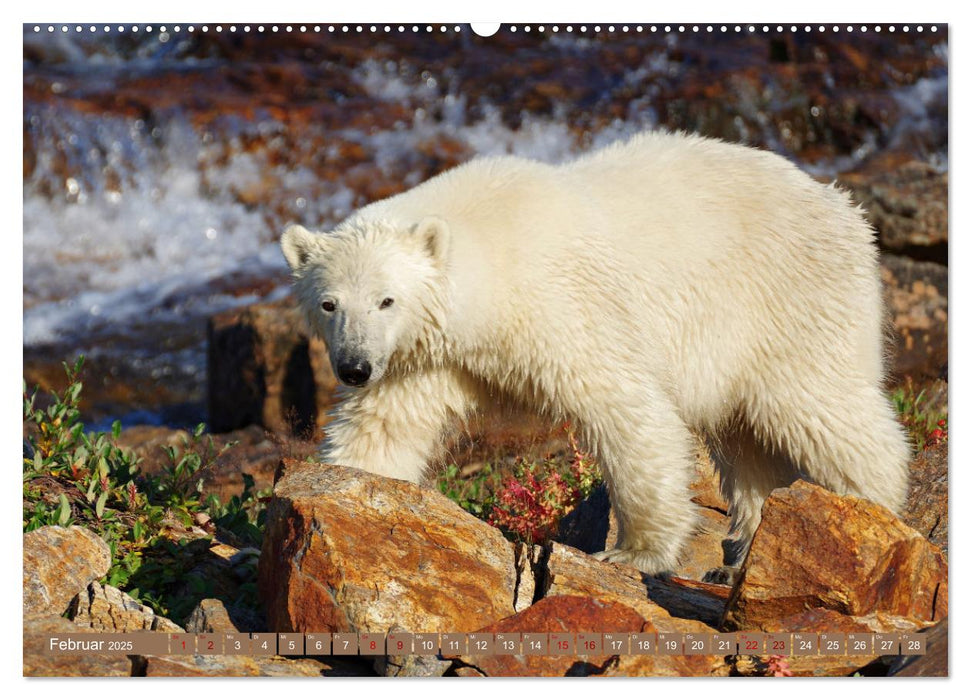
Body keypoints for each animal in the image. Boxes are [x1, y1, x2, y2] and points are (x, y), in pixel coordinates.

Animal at [280, 131, 912, 576]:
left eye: (387, 299)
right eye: (329, 303)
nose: (354, 367)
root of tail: (843, 207)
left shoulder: (560, 306)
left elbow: (626, 406)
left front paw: (637, 552)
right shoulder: (426, 357)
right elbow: (384, 427)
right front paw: (342, 491)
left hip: (789, 302)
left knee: (818, 405)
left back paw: (869, 509)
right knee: (747, 442)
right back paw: (744, 549)